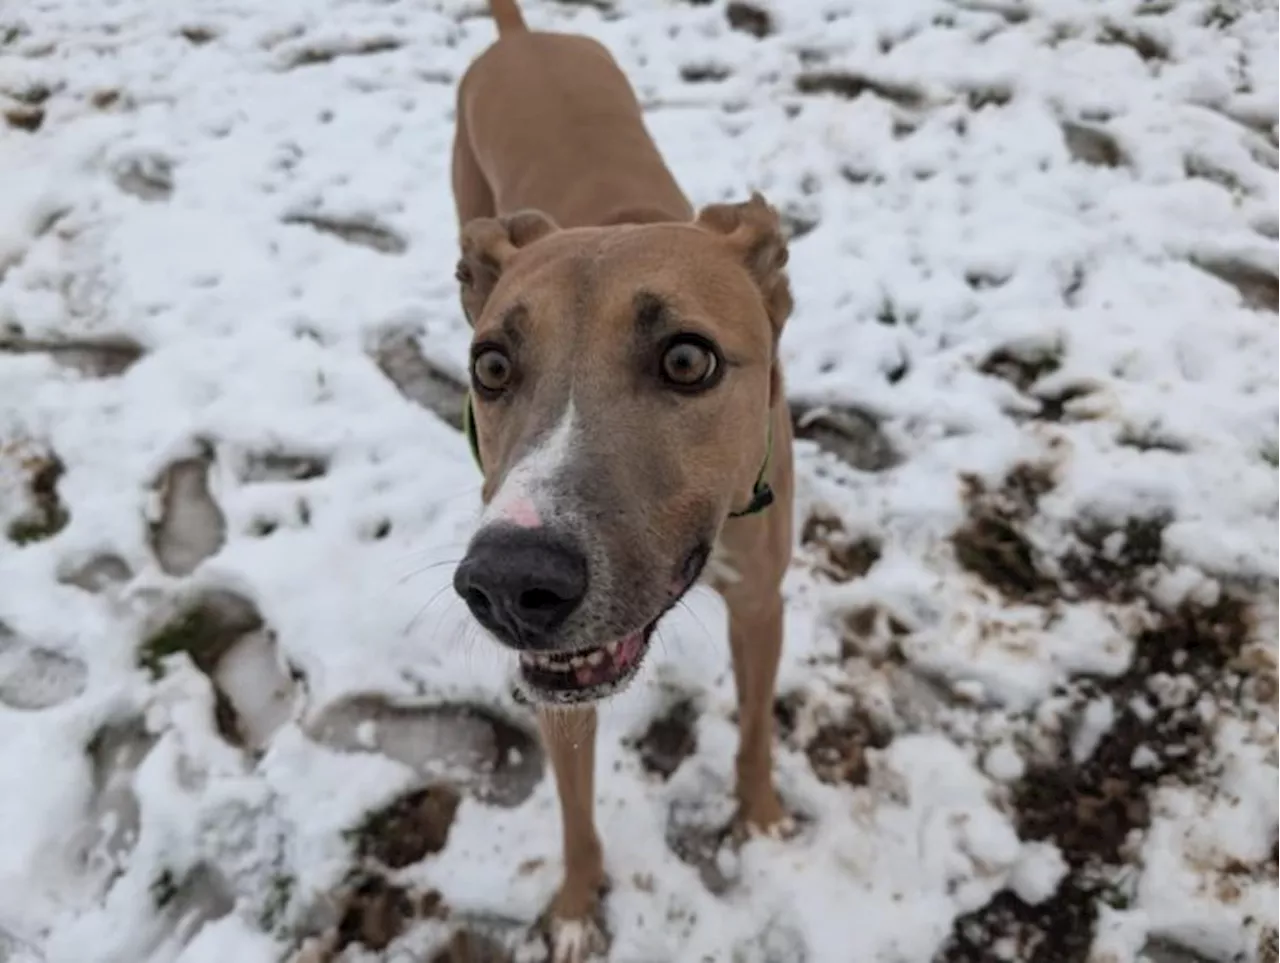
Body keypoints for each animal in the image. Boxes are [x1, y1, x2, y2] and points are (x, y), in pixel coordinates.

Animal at [448, 0, 788, 957]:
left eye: (687, 358)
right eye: (491, 367)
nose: (509, 583)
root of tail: (523, 37)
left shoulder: (762, 603)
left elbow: (755, 728)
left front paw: (759, 817)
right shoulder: (558, 677)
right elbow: (573, 807)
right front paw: (573, 908)